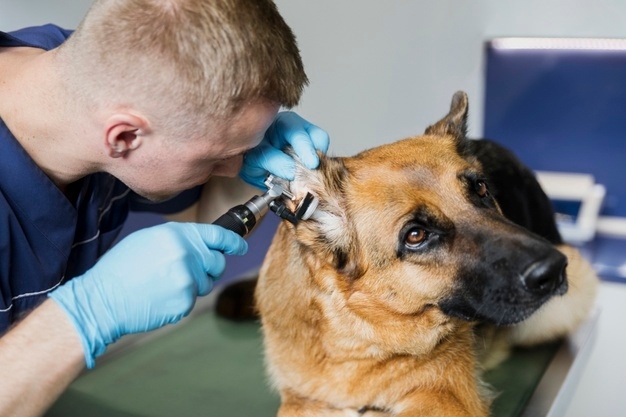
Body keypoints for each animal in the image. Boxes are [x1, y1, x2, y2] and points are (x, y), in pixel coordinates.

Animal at [254, 92, 596, 416]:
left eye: (482, 189)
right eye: (415, 235)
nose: (554, 269)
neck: (353, 333)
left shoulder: (448, 401)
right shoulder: (297, 399)